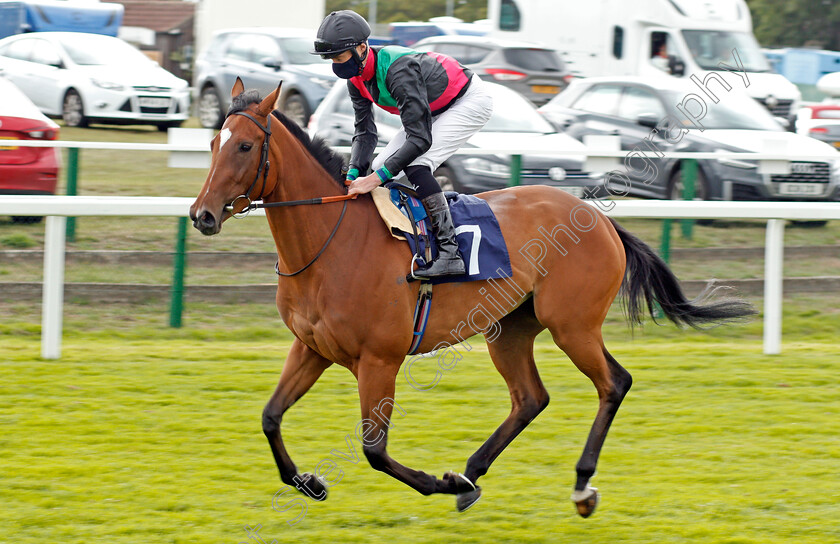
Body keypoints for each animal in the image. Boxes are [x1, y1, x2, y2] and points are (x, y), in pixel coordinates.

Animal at [190, 78, 756, 516]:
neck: (333, 241)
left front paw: (436, 483)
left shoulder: (379, 359)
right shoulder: (311, 348)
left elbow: (375, 450)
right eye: (214, 144)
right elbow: (270, 417)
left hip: (572, 325)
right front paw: (310, 482)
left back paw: (578, 485)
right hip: (509, 329)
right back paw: (472, 473)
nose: (202, 215)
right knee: (531, 398)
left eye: (245, 147)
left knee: (613, 383)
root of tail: (599, 218)